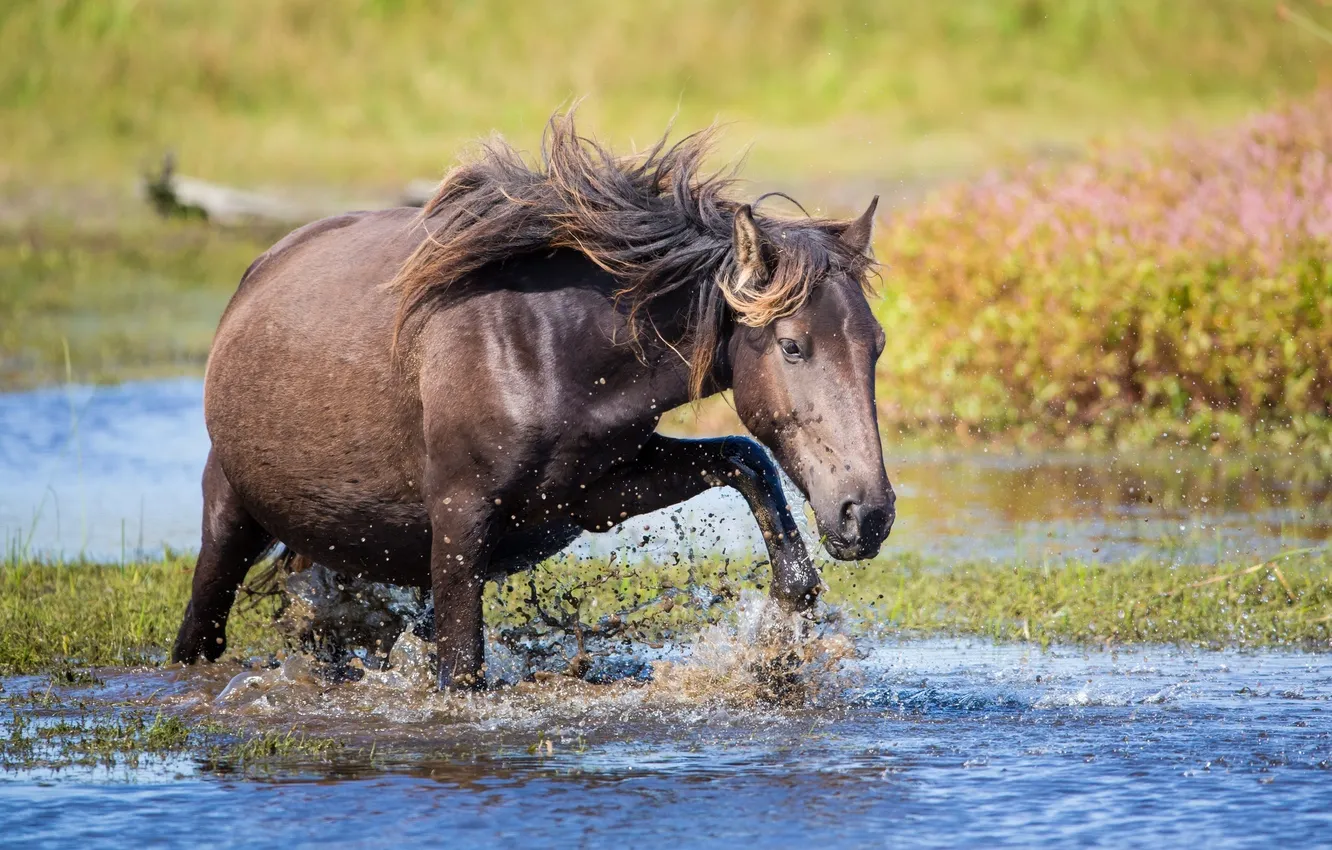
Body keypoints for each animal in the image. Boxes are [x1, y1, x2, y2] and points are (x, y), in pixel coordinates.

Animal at [169, 113, 895, 687]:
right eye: (793, 346)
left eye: (877, 345)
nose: (868, 516)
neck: (548, 346)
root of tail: (258, 274)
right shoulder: (460, 521)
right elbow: (462, 668)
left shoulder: (594, 493)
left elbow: (745, 458)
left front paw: (787, 616)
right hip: (230, 521)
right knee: (198, 636)